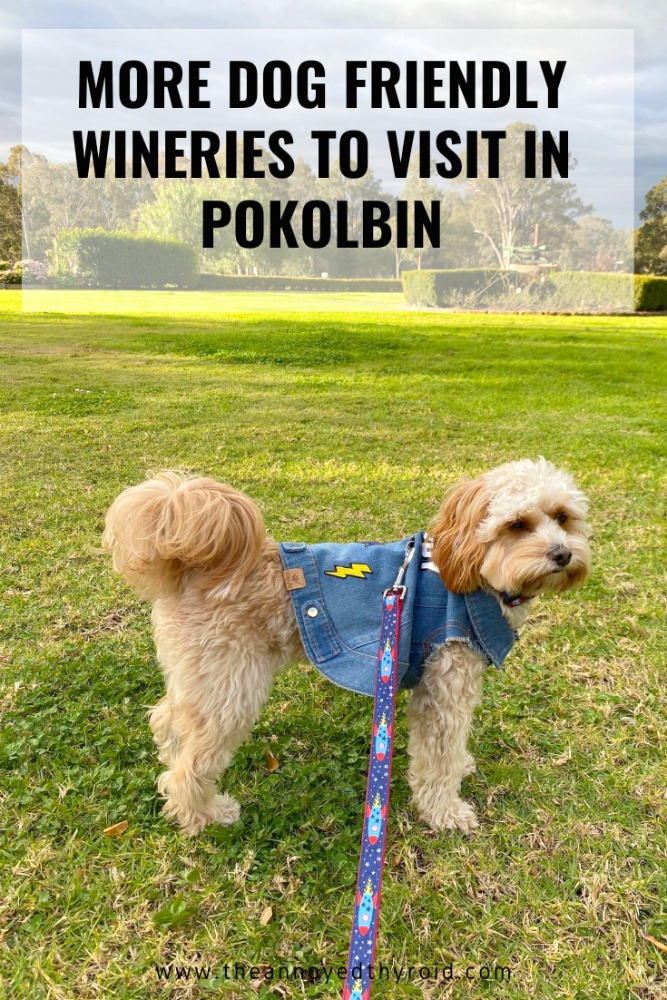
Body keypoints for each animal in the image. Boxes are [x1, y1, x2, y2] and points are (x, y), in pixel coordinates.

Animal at [103, 460, 588, 836]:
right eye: (516, 525)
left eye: (563, 517)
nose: (562, 554)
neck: (468, 574)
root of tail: (192, 564)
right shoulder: (445, 681)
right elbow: (437, 756)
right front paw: (446, 813)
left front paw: (461, 766)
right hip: (230, 685)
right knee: (191, 765)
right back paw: (203, 814)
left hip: (201, 676)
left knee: (167, 719)